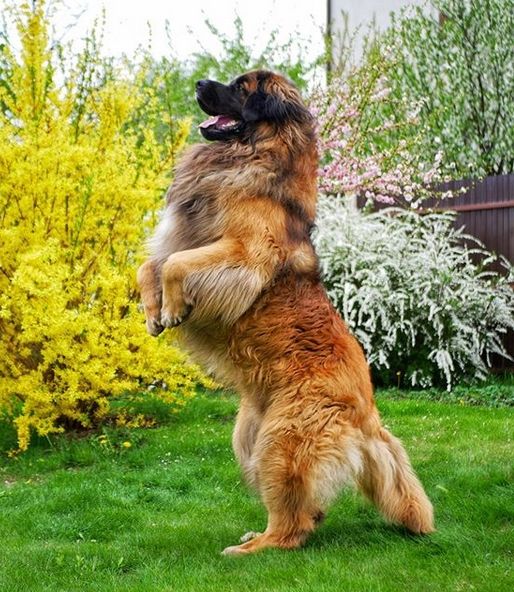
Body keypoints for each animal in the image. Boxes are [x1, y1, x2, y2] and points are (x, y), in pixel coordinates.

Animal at [136, 70, 432, 556]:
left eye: (241, 88)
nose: (199, 82)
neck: (248, 156)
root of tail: (368, 412)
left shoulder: (247, 255)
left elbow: (176, 264)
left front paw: (175, 307)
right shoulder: (183, 240)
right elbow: (150, 265)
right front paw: (152, 314)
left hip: (283, 440)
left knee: (291, 528)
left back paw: (253, 548)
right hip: (250, 435)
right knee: (305, 513)